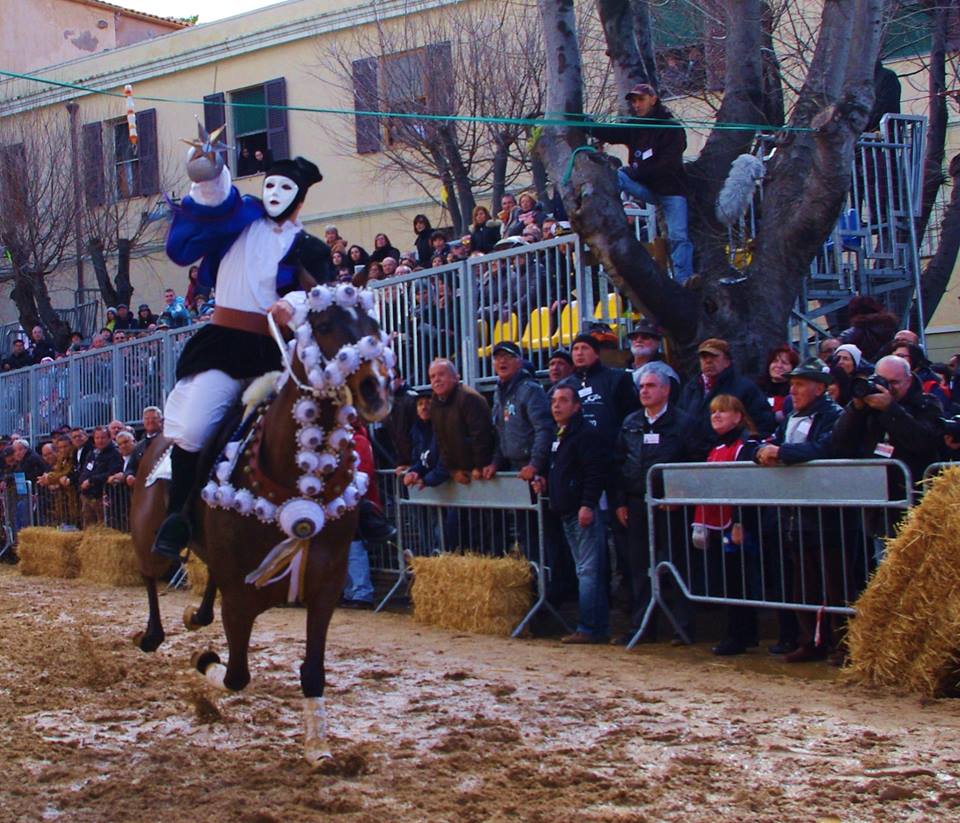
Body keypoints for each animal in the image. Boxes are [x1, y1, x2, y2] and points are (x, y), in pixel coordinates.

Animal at [131, 284, 394, 768]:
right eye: (322, 325)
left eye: (374, 325)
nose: (374, 388)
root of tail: (154, 437)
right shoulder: (240, 598)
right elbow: (235, 674)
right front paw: (204, 661)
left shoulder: (326, 587)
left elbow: (313, 671)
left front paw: (318, 748)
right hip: (147, 539)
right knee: (149, 574)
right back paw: (153, 633)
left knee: (203, 581)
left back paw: (195, 615)